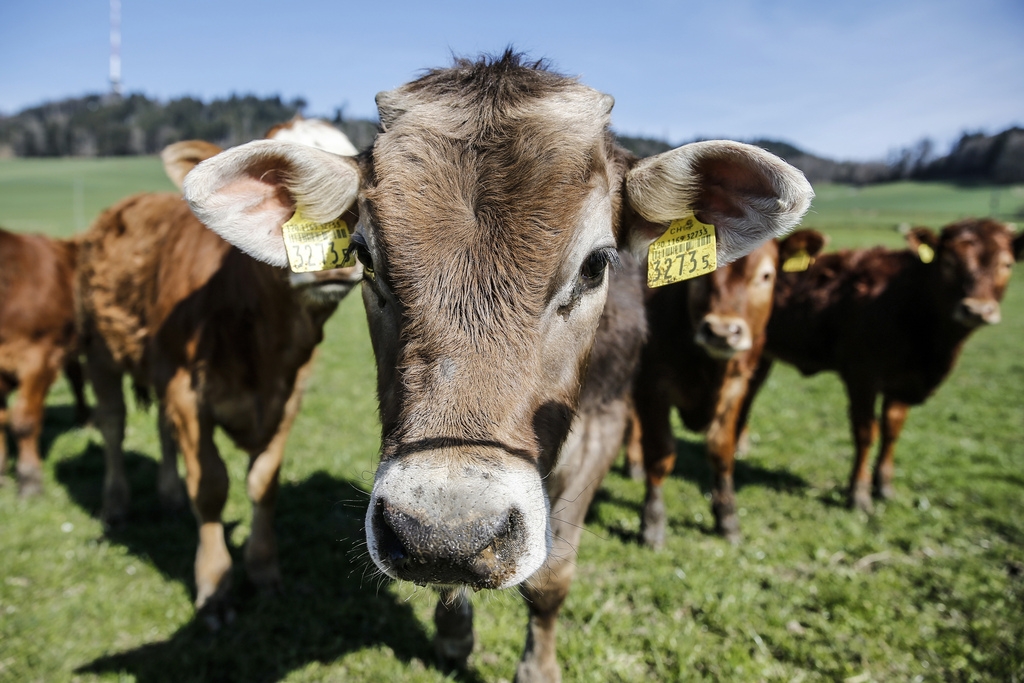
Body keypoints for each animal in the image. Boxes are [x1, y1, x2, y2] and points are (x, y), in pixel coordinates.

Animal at [74, 139, 360, 626]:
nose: (331, 266)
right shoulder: (186, 393)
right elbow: (210, 487)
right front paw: (215, 587)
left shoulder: (289, 397)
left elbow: (264, 483)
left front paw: (264, 571)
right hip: (100, 353)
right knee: (112, 425)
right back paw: (115, 506)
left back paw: (169, 497)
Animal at [630, 237, 774, 548]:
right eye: (699, 271)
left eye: (766, 275)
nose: (721, 332)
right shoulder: (650, 385)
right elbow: (660, 454)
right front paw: (652, 523)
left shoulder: (738, 387)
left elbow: (722, 451)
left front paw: (727, 519)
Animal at [745, 220, 1024, 511]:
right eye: (948, 262)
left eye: (1006, 264)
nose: (977, 310)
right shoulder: (862, 376)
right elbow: (866, 431)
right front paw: (858, 492)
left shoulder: (903, 381)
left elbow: (892, 429)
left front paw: (884, 486)